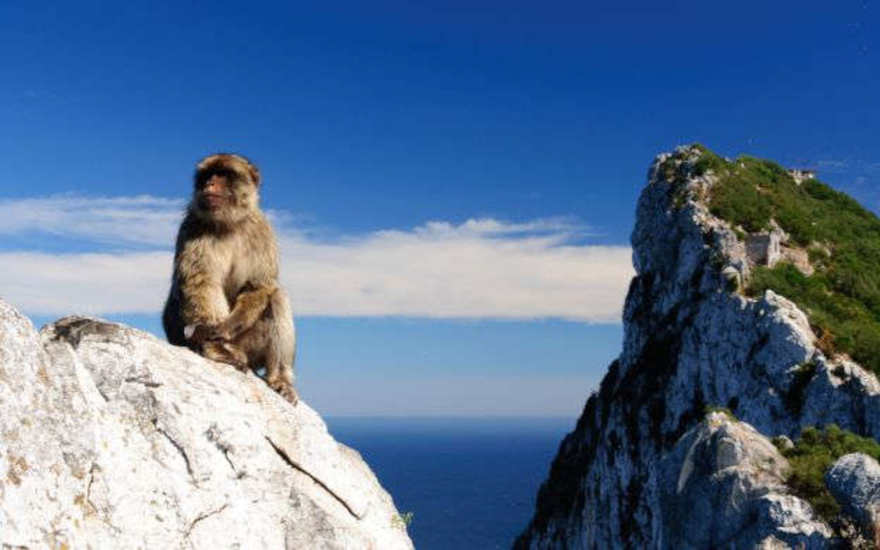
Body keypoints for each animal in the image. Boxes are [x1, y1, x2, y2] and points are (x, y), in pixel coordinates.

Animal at [158, 154, 296, 406]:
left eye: (223, 174)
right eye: (206, 175)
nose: (209, 184)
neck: (230, 223)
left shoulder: (261, 231)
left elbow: (257, 287)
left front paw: (227, 326)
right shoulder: (193, 226)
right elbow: (201, 282)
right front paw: (213, 343)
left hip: (250, 349)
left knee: (277, 296)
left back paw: (280, 378)